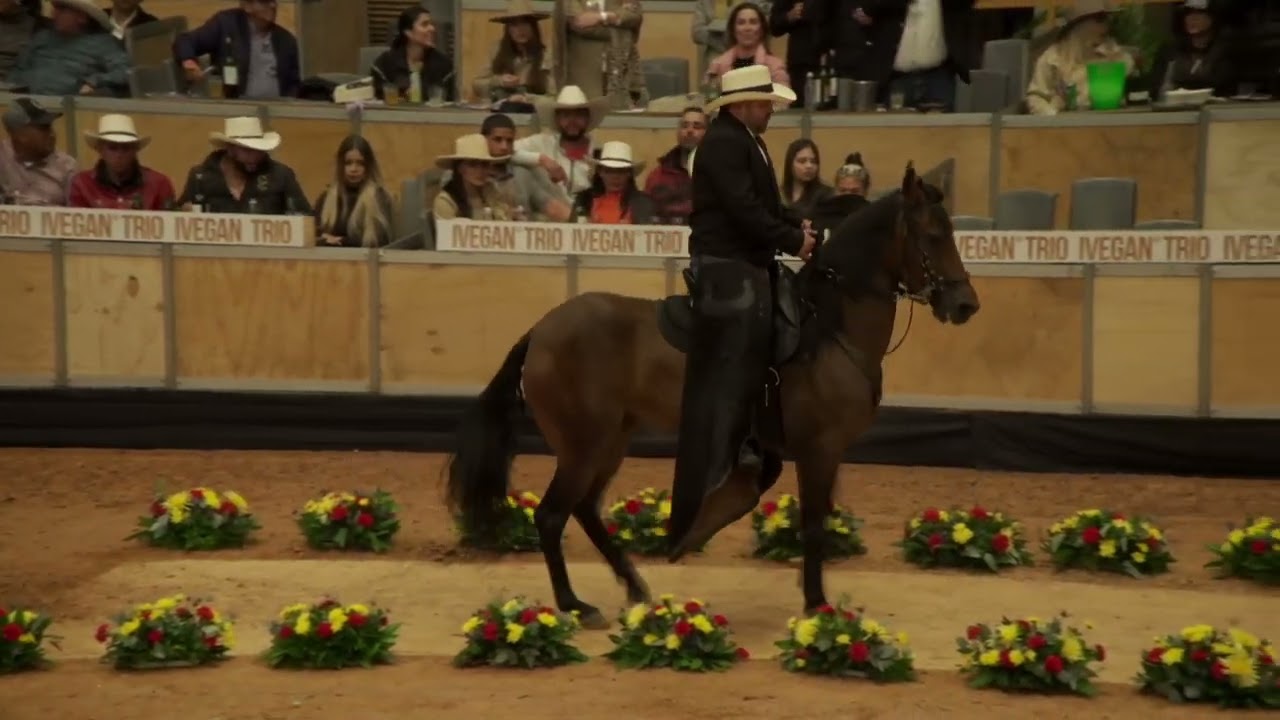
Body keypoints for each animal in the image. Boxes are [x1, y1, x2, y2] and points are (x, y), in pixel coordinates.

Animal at [445, 162, 980, 628]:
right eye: (933, 235)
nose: (965, 304)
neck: (828, 326)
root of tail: (541, 331)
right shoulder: (819, 450)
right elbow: (813, 524)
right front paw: (817, 604)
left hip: (610, 441)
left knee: (584, 509)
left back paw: (634, 586)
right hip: (584, 445)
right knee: (552, 516)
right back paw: (576, 605)